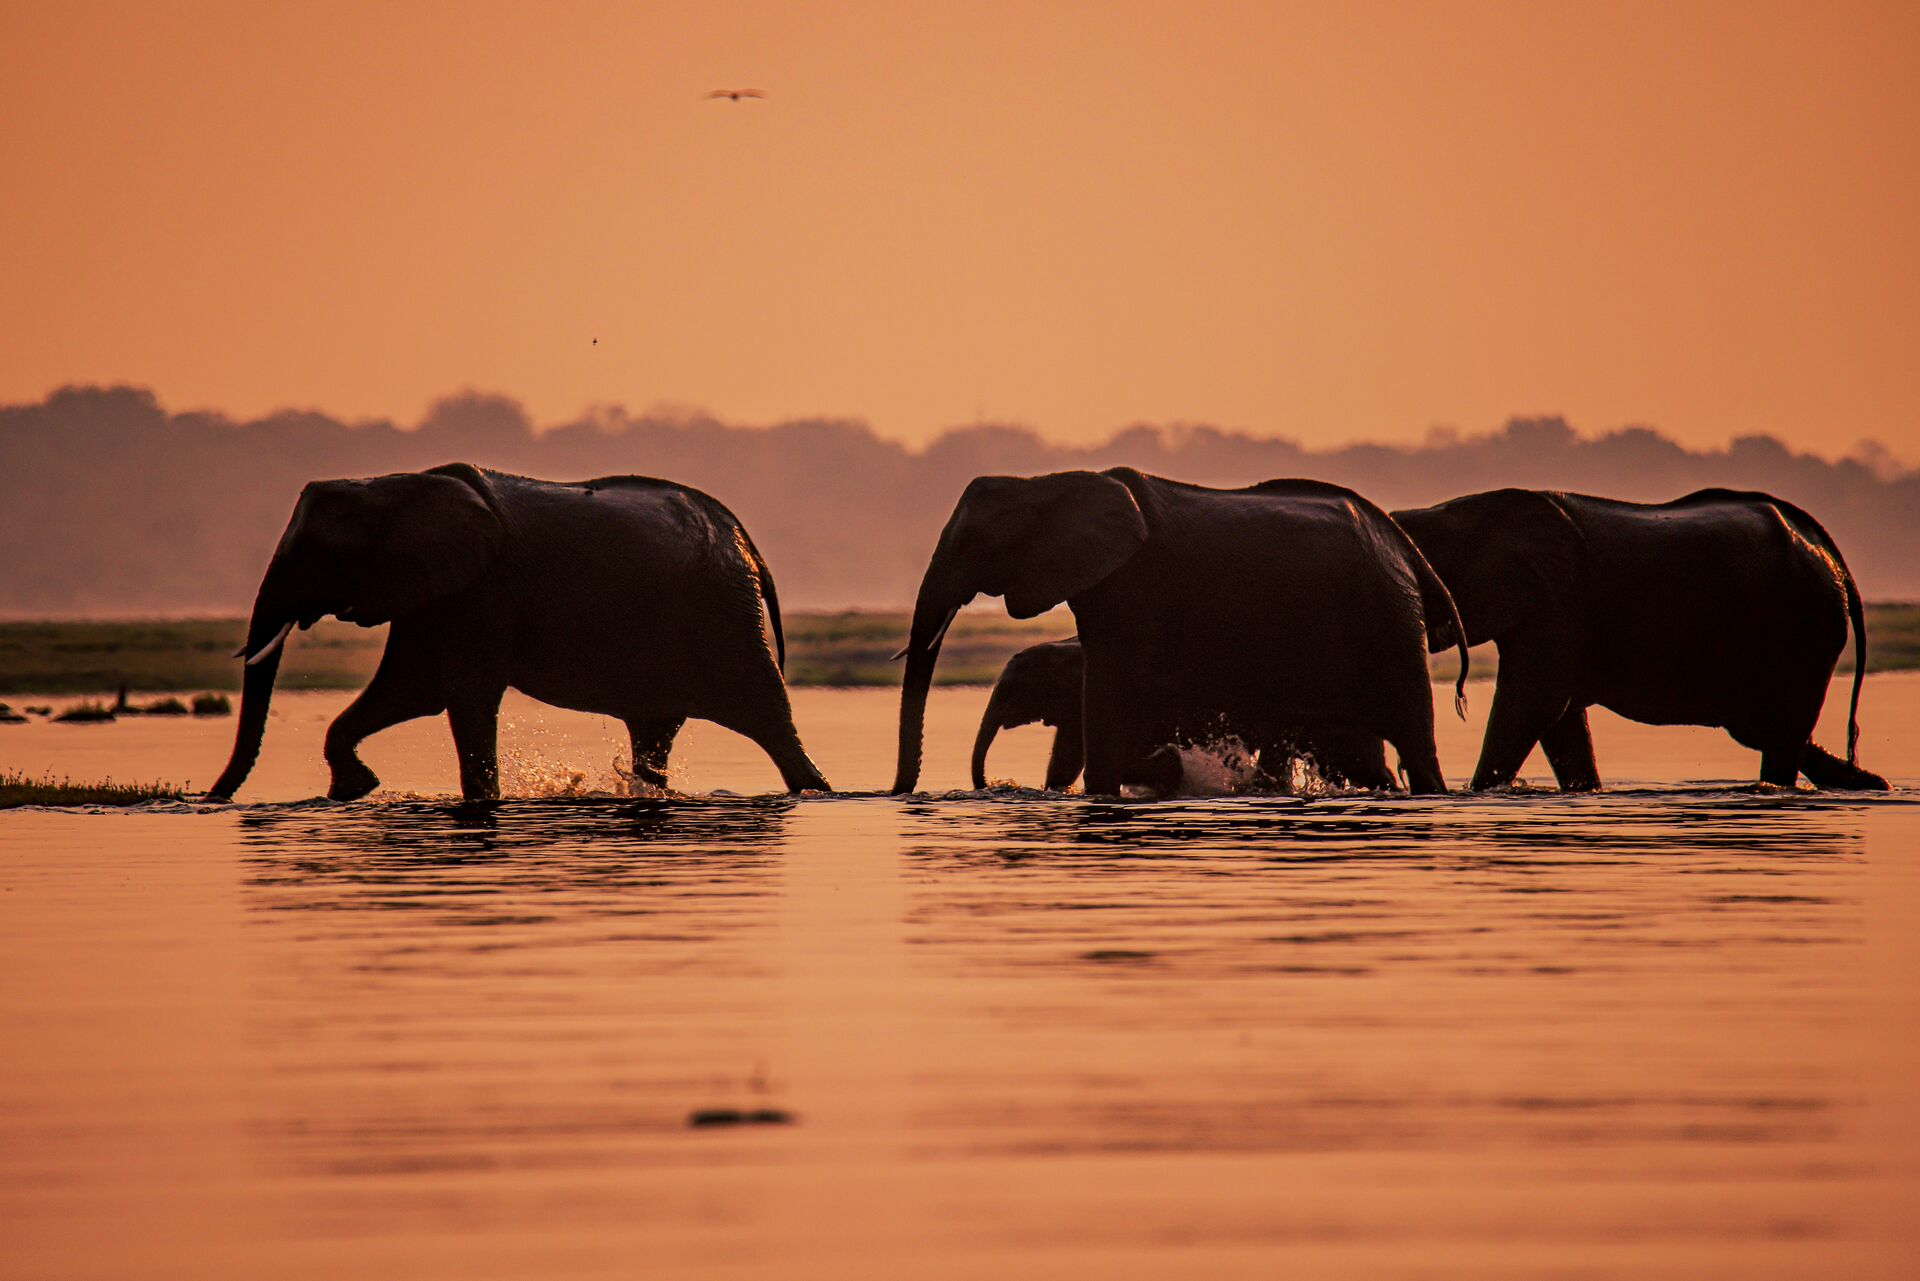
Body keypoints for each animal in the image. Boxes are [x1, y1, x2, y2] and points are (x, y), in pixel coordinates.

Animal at [207, 463, 830, 802]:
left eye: (318, 553)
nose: (206, 799)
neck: (392, 486)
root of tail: (745, 540)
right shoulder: (435, 593)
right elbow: (411, 690)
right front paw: (352, 790)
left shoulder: (480, 590)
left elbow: (461, 695)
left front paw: (481, 802)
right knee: (656, 731)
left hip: (725, 614)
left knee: (768, 718)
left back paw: (818, 792)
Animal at [1391, 488, 1888, 791]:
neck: (1458, 511)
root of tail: (1829, 552)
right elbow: (1559, 719)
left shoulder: (1560, 601)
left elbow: (1531, 704)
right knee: (1770, 730)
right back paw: (1871, 784)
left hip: (1806, 622)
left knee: (1779, 732)